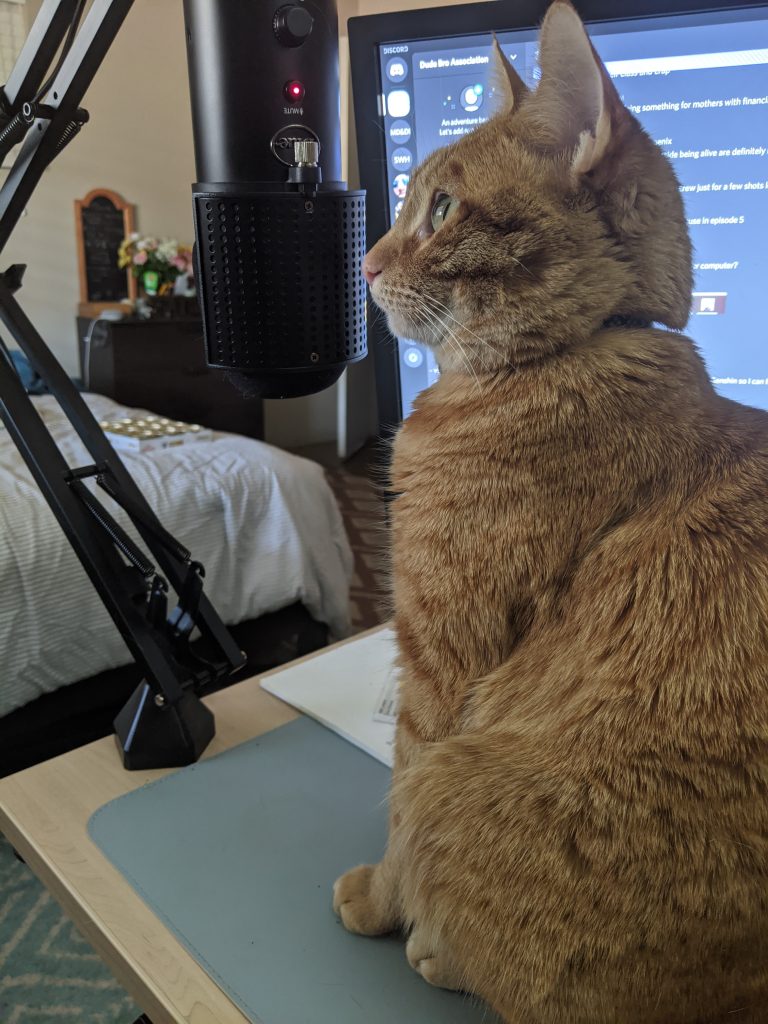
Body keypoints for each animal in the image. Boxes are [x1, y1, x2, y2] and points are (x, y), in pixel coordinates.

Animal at [333, 4, 768, 1019]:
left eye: (441, 210)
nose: (364, 261)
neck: (581, 349)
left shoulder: (440, 658)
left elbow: (399, 795)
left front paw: (378, 900)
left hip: (462, 779)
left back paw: (435, 951)